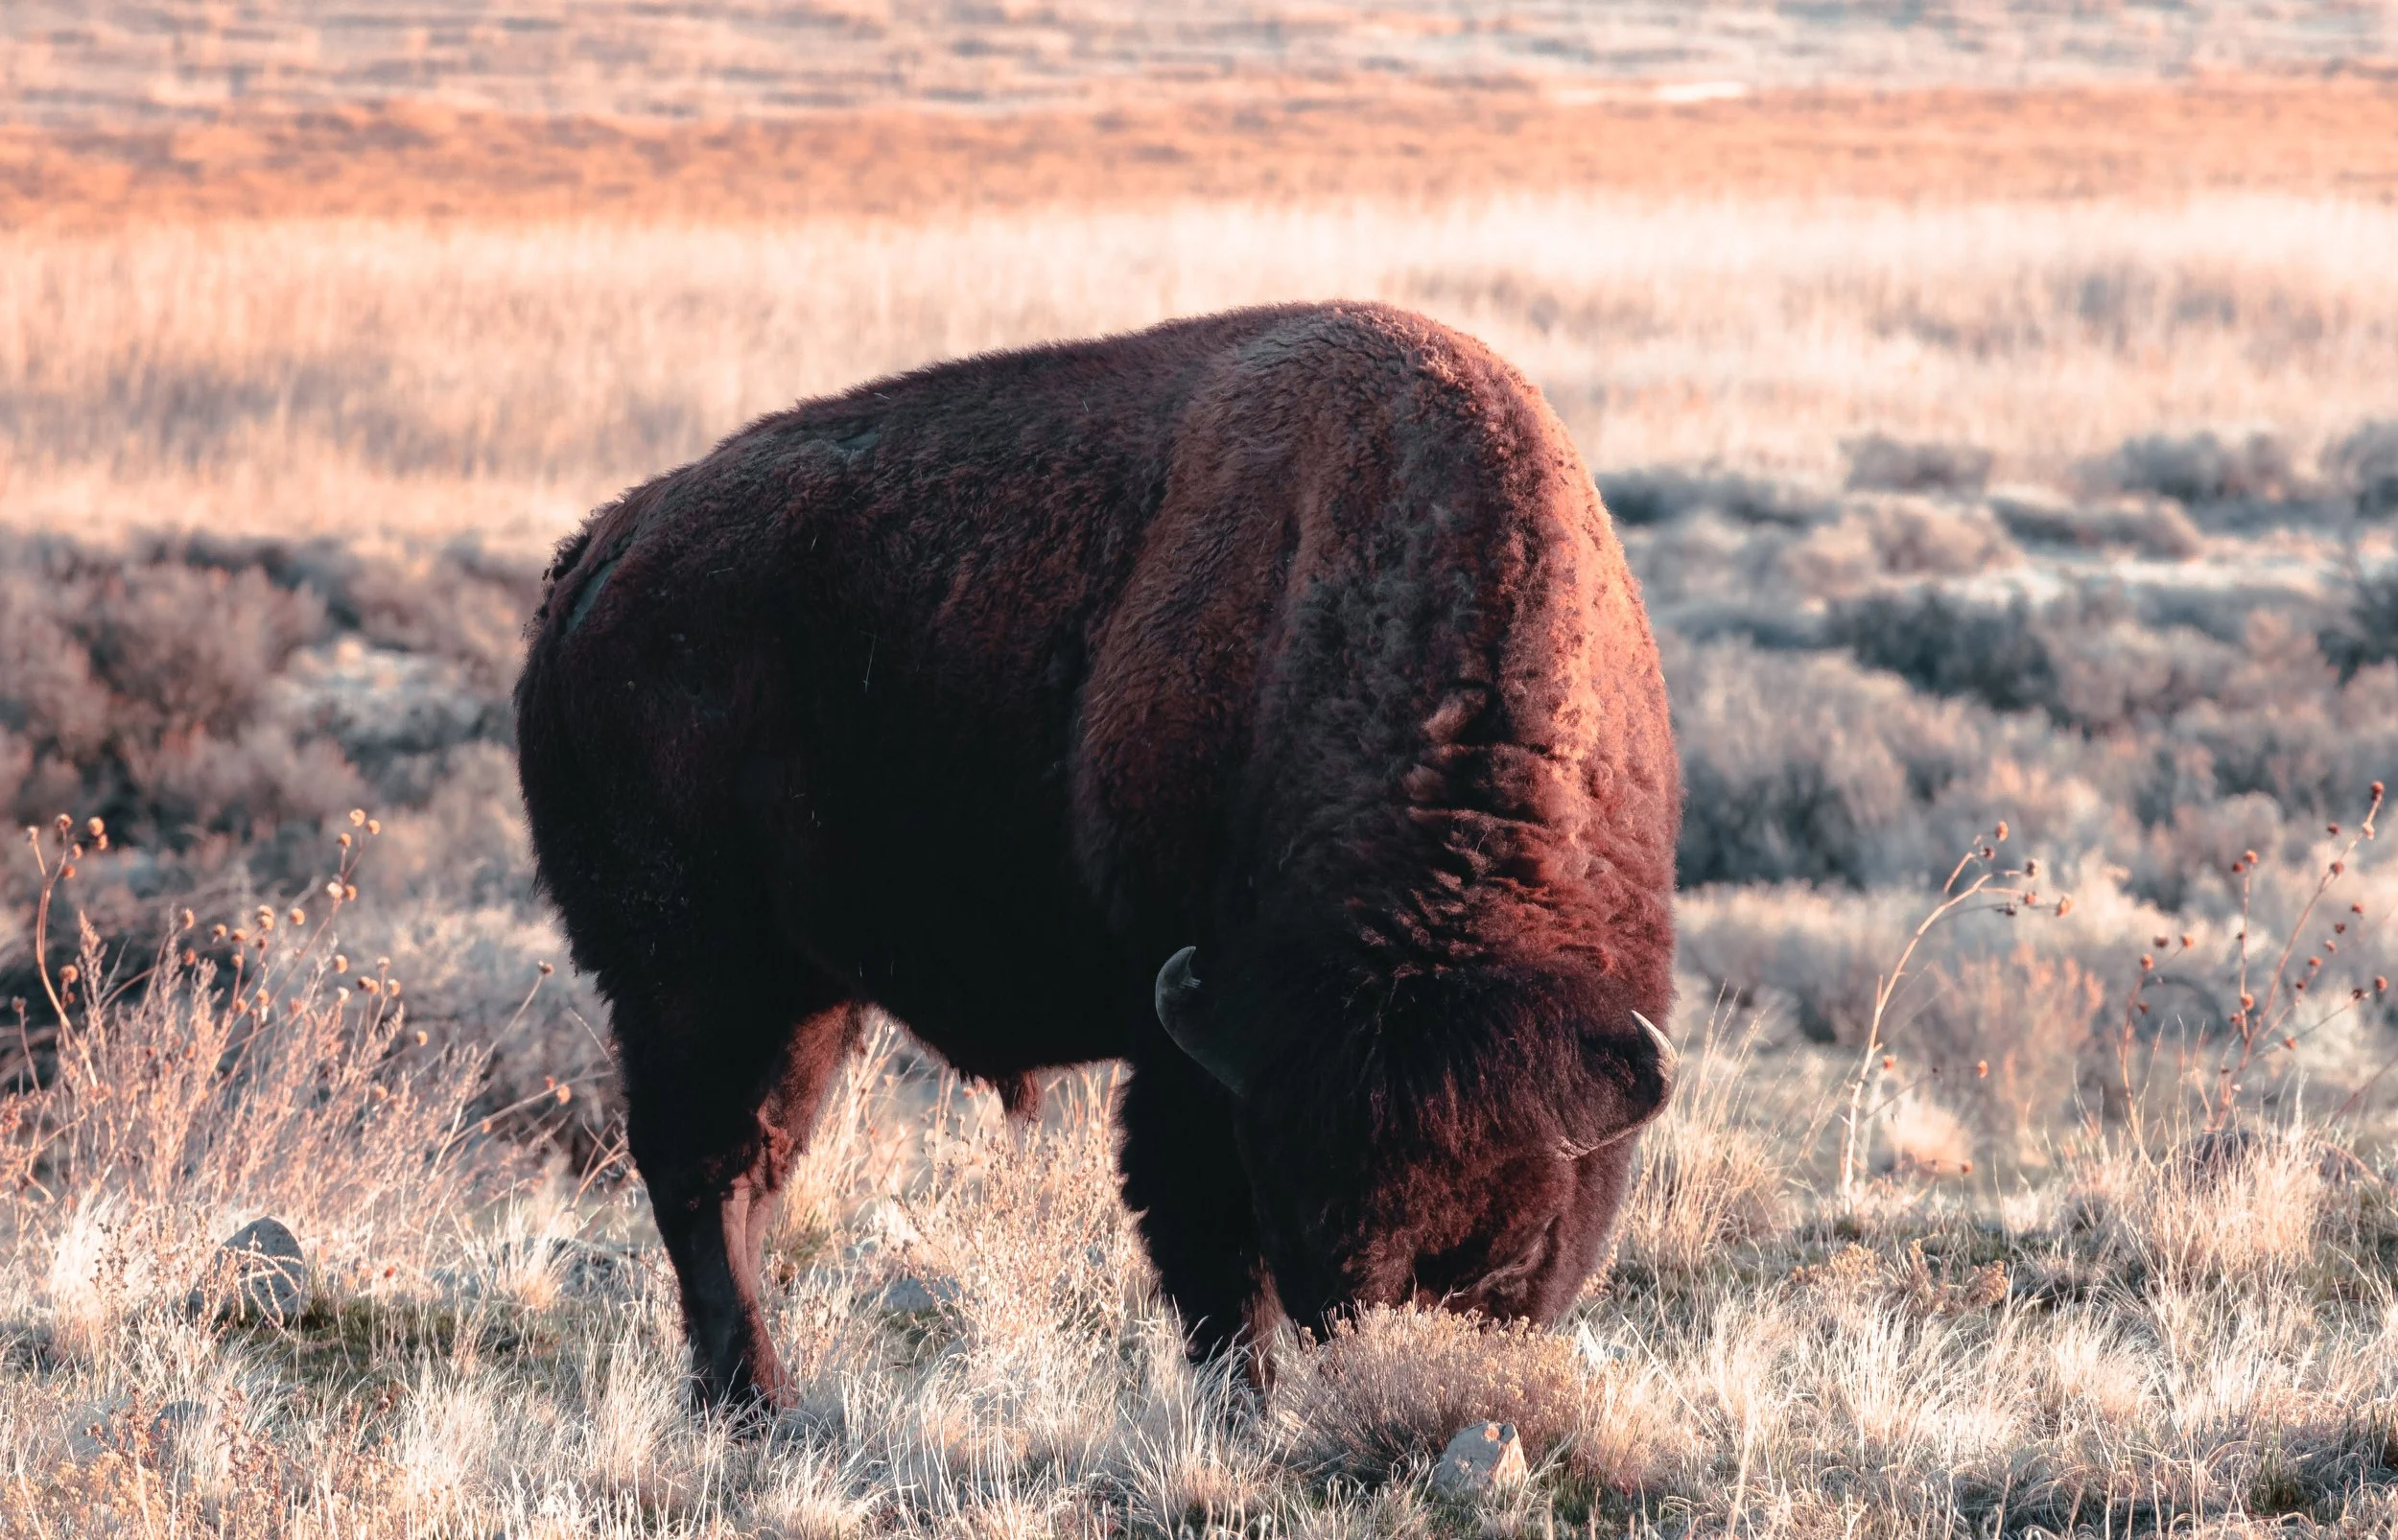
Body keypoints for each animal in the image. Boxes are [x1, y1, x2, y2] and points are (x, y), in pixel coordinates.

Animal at [514, 302, 1680, 1408]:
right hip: (698, 981)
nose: (1399, 1348)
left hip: (801, 996)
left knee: (744, 1173)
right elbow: (1213, 1263)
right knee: (704, 1175)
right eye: (1301, 1220)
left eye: (1523, 1248)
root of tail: (597, 560)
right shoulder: (1192, 1061)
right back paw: (757, 1399)